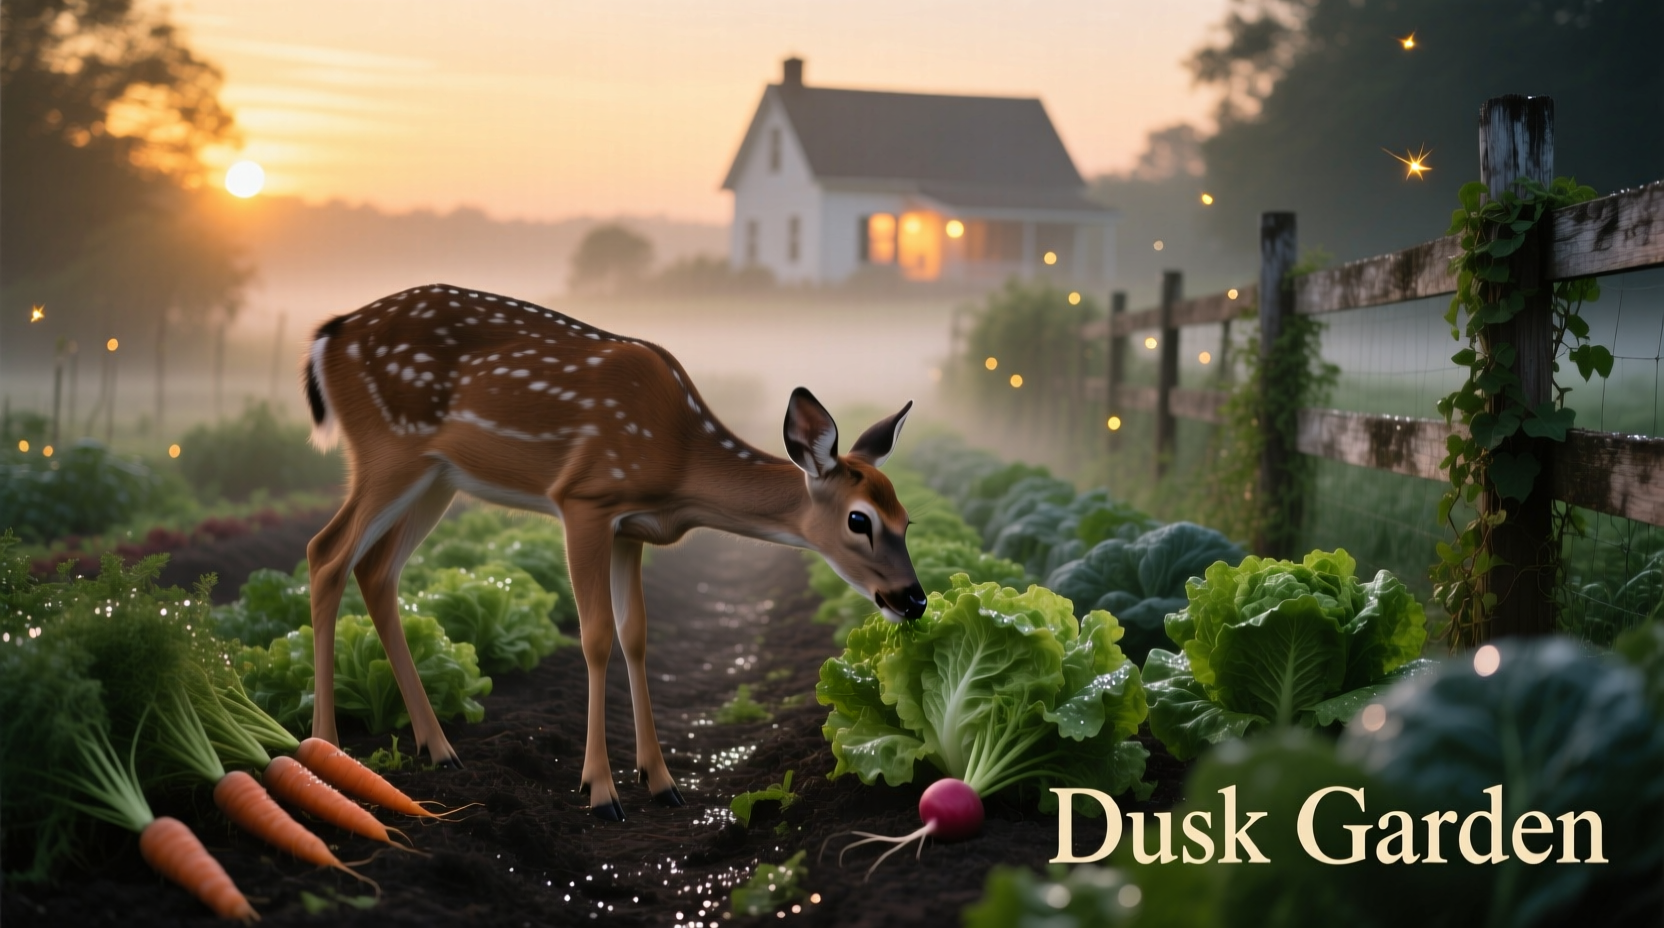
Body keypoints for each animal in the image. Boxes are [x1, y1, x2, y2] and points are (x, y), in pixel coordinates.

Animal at [300, 284, 926, 819]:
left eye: (907, 519)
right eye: (859, 520)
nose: (914, 600)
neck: (678, 465)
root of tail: (330, 335)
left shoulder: (631, 530)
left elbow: (636, 634)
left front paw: (663, 782)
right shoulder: (585, 499)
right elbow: (596, 635)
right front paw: (600, 791)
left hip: (437, 477)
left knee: (376, 569)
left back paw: (439, 748)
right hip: (388, 450)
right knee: (325, 552)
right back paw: (327, 750)